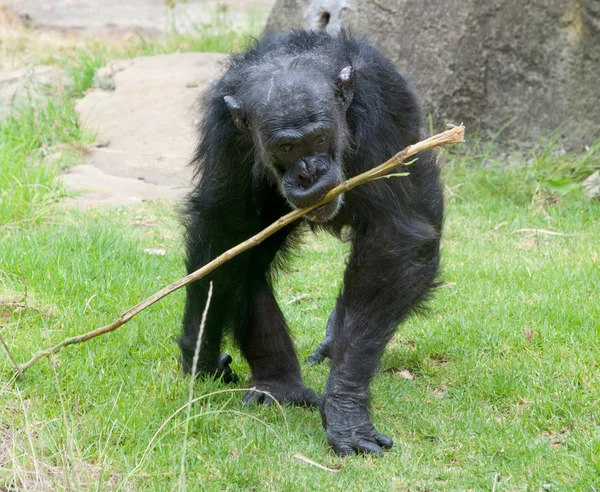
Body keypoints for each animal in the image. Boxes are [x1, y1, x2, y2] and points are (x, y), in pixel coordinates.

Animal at [176, 28, 442, 456]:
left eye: (318, 137)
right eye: (286, 147)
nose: (309, 171)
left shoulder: (380, 110)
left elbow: (396, 231)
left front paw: (345, 405)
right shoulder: (225, 130)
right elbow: (225, 230)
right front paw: (200, 355)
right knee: (249, 257)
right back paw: (279, 385)